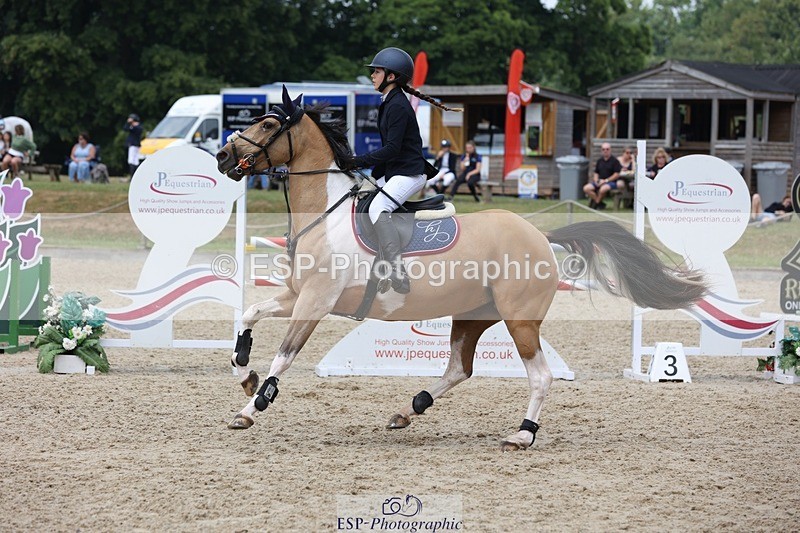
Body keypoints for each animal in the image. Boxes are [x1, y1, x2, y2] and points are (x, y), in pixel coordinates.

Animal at [215, 86, 706, 451]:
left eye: (269, 123)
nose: (222, 157)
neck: (325, 214)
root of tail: (540, 236)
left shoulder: (316, 302)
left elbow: (285, 354)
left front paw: (251, 408)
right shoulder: (297, 295)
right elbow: (249, 316)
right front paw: (246, 375)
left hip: (519, 320)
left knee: (539, 375)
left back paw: (522, 435)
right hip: (473, 315)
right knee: (459, 368)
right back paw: (407, 410)